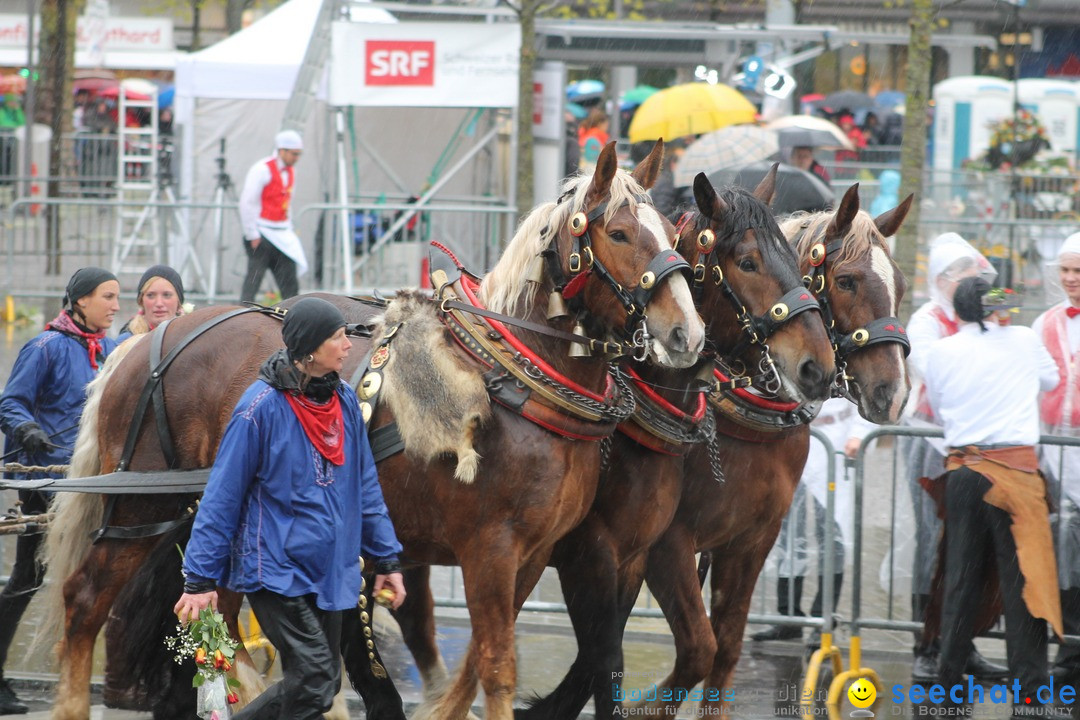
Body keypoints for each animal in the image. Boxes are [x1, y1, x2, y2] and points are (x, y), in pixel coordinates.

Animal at [38, 140, 704, 720]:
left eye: (674, 238)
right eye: (618, 234)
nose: (686, 334)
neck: (515, 374)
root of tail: (150, 340)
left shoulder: (536, 556)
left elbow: (473, 668)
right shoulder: (491, 549)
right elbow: (495, 668)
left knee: (216, 616)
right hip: (140, 507)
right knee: (85, 600)